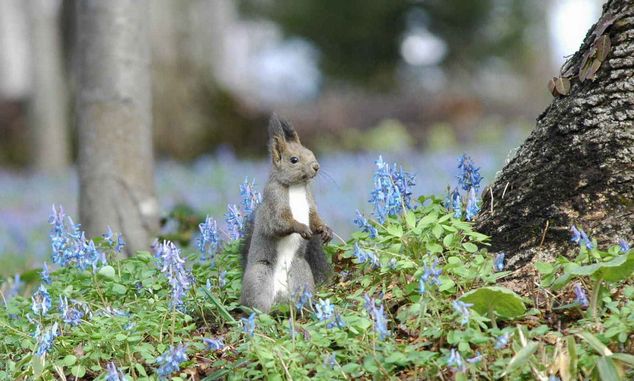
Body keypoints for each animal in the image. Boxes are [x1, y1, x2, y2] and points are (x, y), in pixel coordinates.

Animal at [239, 113, 334, 312]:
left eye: (310, 152)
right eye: (293, 160)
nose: (316, 166)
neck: (296, 187)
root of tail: (280, 300)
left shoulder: (310, 204)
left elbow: (315, 218)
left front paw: (326, 230)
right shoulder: (274, 203)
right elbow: (279, 223)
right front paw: (301, 227)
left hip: (301, 273)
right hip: (259, 277)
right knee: (257, 306)